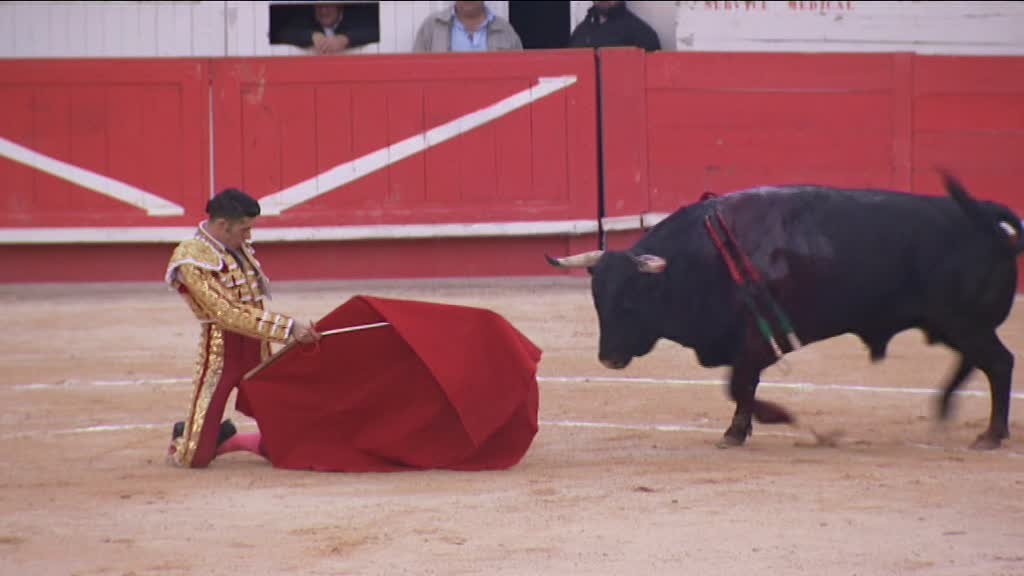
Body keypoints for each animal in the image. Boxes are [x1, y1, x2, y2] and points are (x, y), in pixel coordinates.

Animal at [552, 170, 1024, 448]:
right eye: (597, 299)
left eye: (632, 298)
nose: (609, 358)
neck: (708, 257)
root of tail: (987, 218)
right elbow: (742, 387)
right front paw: (742, 429)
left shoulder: (756, 342)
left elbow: (738, 386)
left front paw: (755, 425)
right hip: (952, 323)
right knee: (976, 362)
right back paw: (947, 410)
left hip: (963, 321)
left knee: (999, 363)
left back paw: (991, 434)